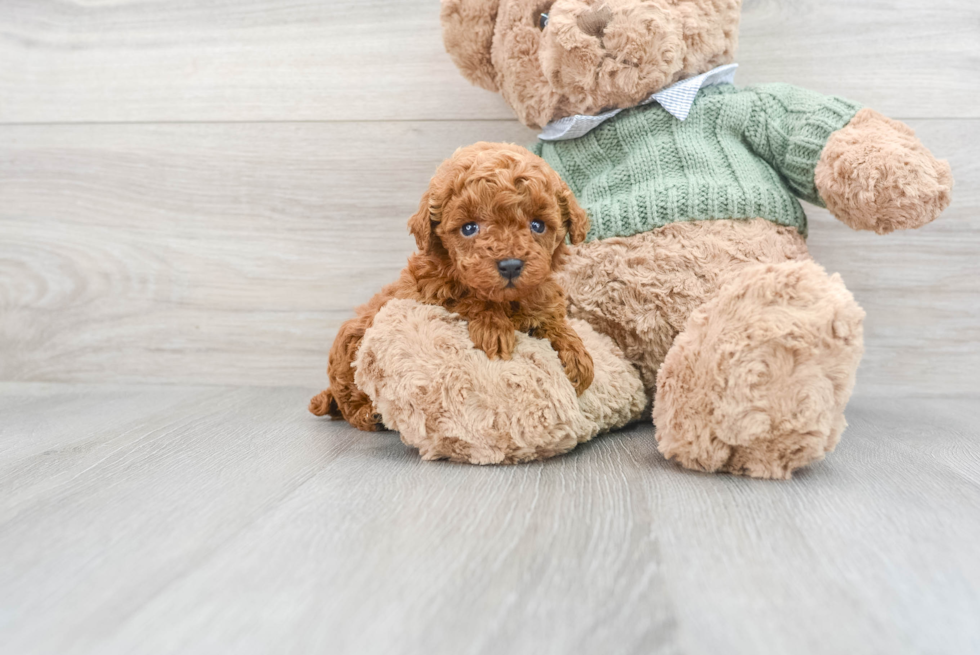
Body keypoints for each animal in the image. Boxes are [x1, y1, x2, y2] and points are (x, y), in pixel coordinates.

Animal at [310, 141, 592, 434]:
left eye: (537, 225)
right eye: (469, 228)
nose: (511, 265)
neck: (506, 301)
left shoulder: (541, 296)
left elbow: (552, 320)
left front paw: (576, 353)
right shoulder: (428, 292)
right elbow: (466, 298)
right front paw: (493, 327)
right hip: (350, 347)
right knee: (346, 397)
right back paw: (368, 413)